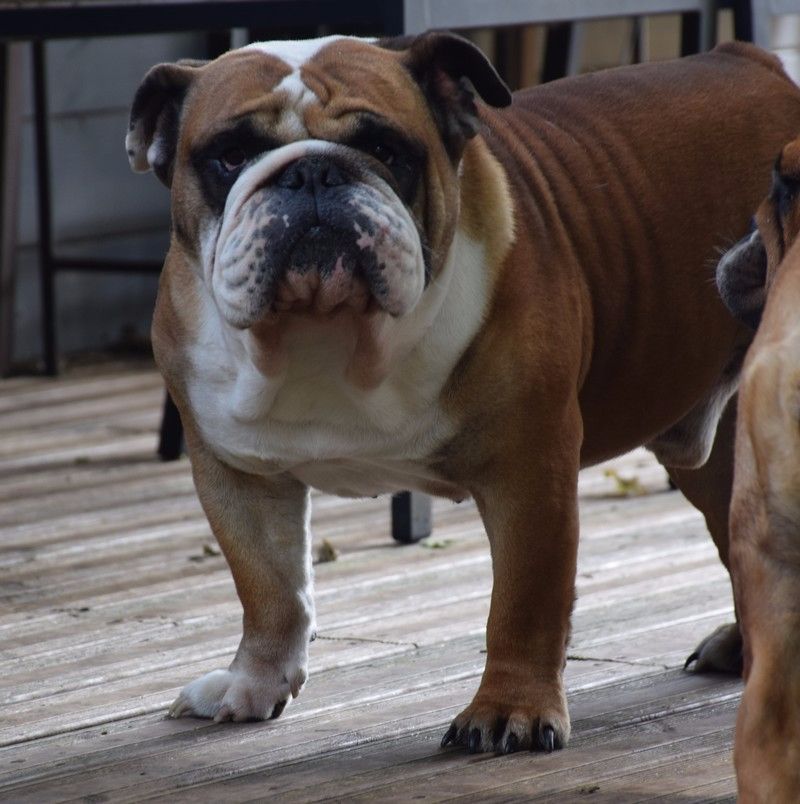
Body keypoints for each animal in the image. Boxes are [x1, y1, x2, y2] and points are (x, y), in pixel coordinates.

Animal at [127, 33, 800, 753]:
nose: (311, 174)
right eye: (229, 156)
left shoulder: (529, 468)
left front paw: (510, 708)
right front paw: (252, 684)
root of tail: (754, 60)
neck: (332, 335)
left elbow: (524, 599)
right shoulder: (236, 473)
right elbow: (268, 586)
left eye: (387, 149)